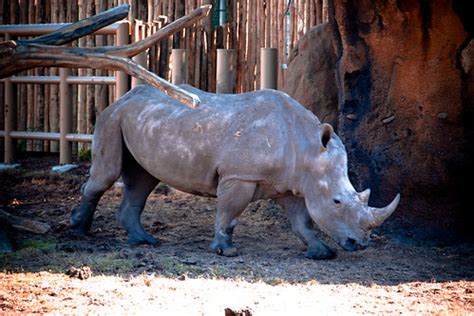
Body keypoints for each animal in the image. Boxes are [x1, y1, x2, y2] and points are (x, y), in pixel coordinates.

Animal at [71, 84, 400, 260]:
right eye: (337, 201)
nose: (360, 244)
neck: (308, 148)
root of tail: (124, 95)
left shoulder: (293, 183)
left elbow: (302, 221)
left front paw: (321, 252)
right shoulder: (239, 175)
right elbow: (229, 212)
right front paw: (225, 250)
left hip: (141, 119)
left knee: (143, 179)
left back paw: (144, 241)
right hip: (113, 118)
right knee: (107, 175)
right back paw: (80, 229)